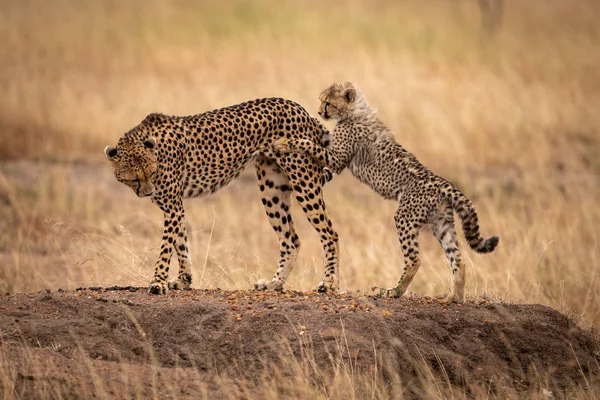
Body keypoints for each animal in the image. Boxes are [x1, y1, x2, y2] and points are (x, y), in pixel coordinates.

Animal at [105, 99, 340, 296]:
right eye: (134, 179)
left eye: (152, 173)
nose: (148, 193)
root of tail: (299, 108)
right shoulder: (174, 207)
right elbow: (180, 242)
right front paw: (184, 279)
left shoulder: (172, 206)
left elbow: (166, 247)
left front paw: (158, 282)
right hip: (272, 189)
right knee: (291, 239)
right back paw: (275, 284)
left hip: (304, 182)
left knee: (330, 233)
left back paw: (329, 283)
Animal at [274, 82, 500, 304]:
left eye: (328, 102)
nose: (321, 111)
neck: (354, 112)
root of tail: (442, 182)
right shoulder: (335, 154)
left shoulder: (336, 158)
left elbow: (309, 145)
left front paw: (285, 142)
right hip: (441, 223)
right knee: (459, 259)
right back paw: (455, 297)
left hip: (405, 217)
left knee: (415, 259)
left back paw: (394, 291)